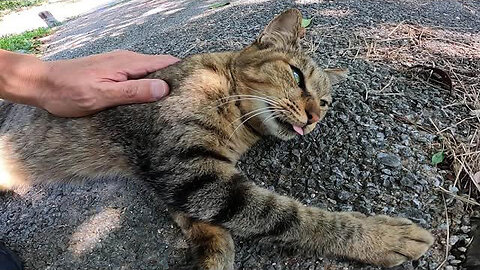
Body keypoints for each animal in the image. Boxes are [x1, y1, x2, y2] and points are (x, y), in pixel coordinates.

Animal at [0, 8, 434, 270]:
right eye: (296, 76)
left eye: (325, 103)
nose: (313, 118)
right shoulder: (186, 168)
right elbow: (284, 215)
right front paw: (379, 236)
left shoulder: (174, 174)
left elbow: (196, 219)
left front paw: (211, 251)